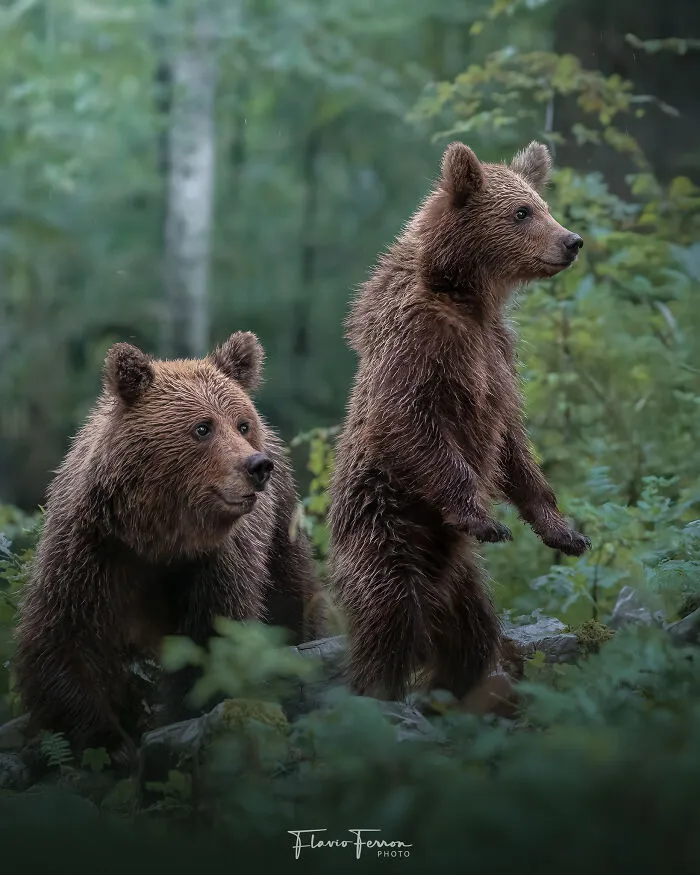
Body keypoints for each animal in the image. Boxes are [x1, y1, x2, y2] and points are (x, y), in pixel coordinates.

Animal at [14, 331, 324, 764]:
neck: (157, 537)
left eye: (242, 424)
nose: (257, 465)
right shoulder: (90, 551)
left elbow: (212, 641)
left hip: (280, 531)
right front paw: (107, 741)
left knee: (292, 600)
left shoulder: (214, 563)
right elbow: (63, 638)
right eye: (202, 427)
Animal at [328, 140, 591, 702]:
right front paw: (484, 517)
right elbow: (407, 422)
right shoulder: (421, 344)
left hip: (463, 581)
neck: (467, 294)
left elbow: (514, 447)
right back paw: (380, 690)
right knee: (389, 616)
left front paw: (565, 532)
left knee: (472, 635)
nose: (572, 241)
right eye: (522, 212)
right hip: (385, 530)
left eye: (543, 204)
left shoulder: (499, 355)